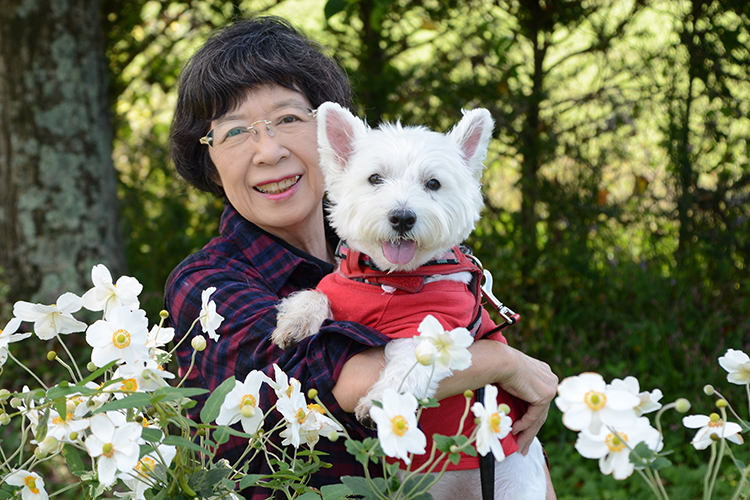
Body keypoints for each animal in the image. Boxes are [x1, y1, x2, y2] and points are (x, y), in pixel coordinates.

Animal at [270, 102, 548, 500]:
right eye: (374, 178)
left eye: (433, 183)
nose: (402, 217)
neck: (391, 280)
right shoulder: (344, 290)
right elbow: (318, 293)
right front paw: (295, 321)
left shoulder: (440, 328)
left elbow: (411, 363)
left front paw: (379, 402)